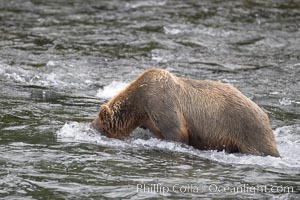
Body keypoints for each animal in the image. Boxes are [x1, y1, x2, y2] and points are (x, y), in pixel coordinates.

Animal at [92, 68, 280, 156]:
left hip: (248, 130)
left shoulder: (160, 101)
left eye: (98, 126)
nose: (90, 127)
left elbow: (178, 132)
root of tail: (265, 116)